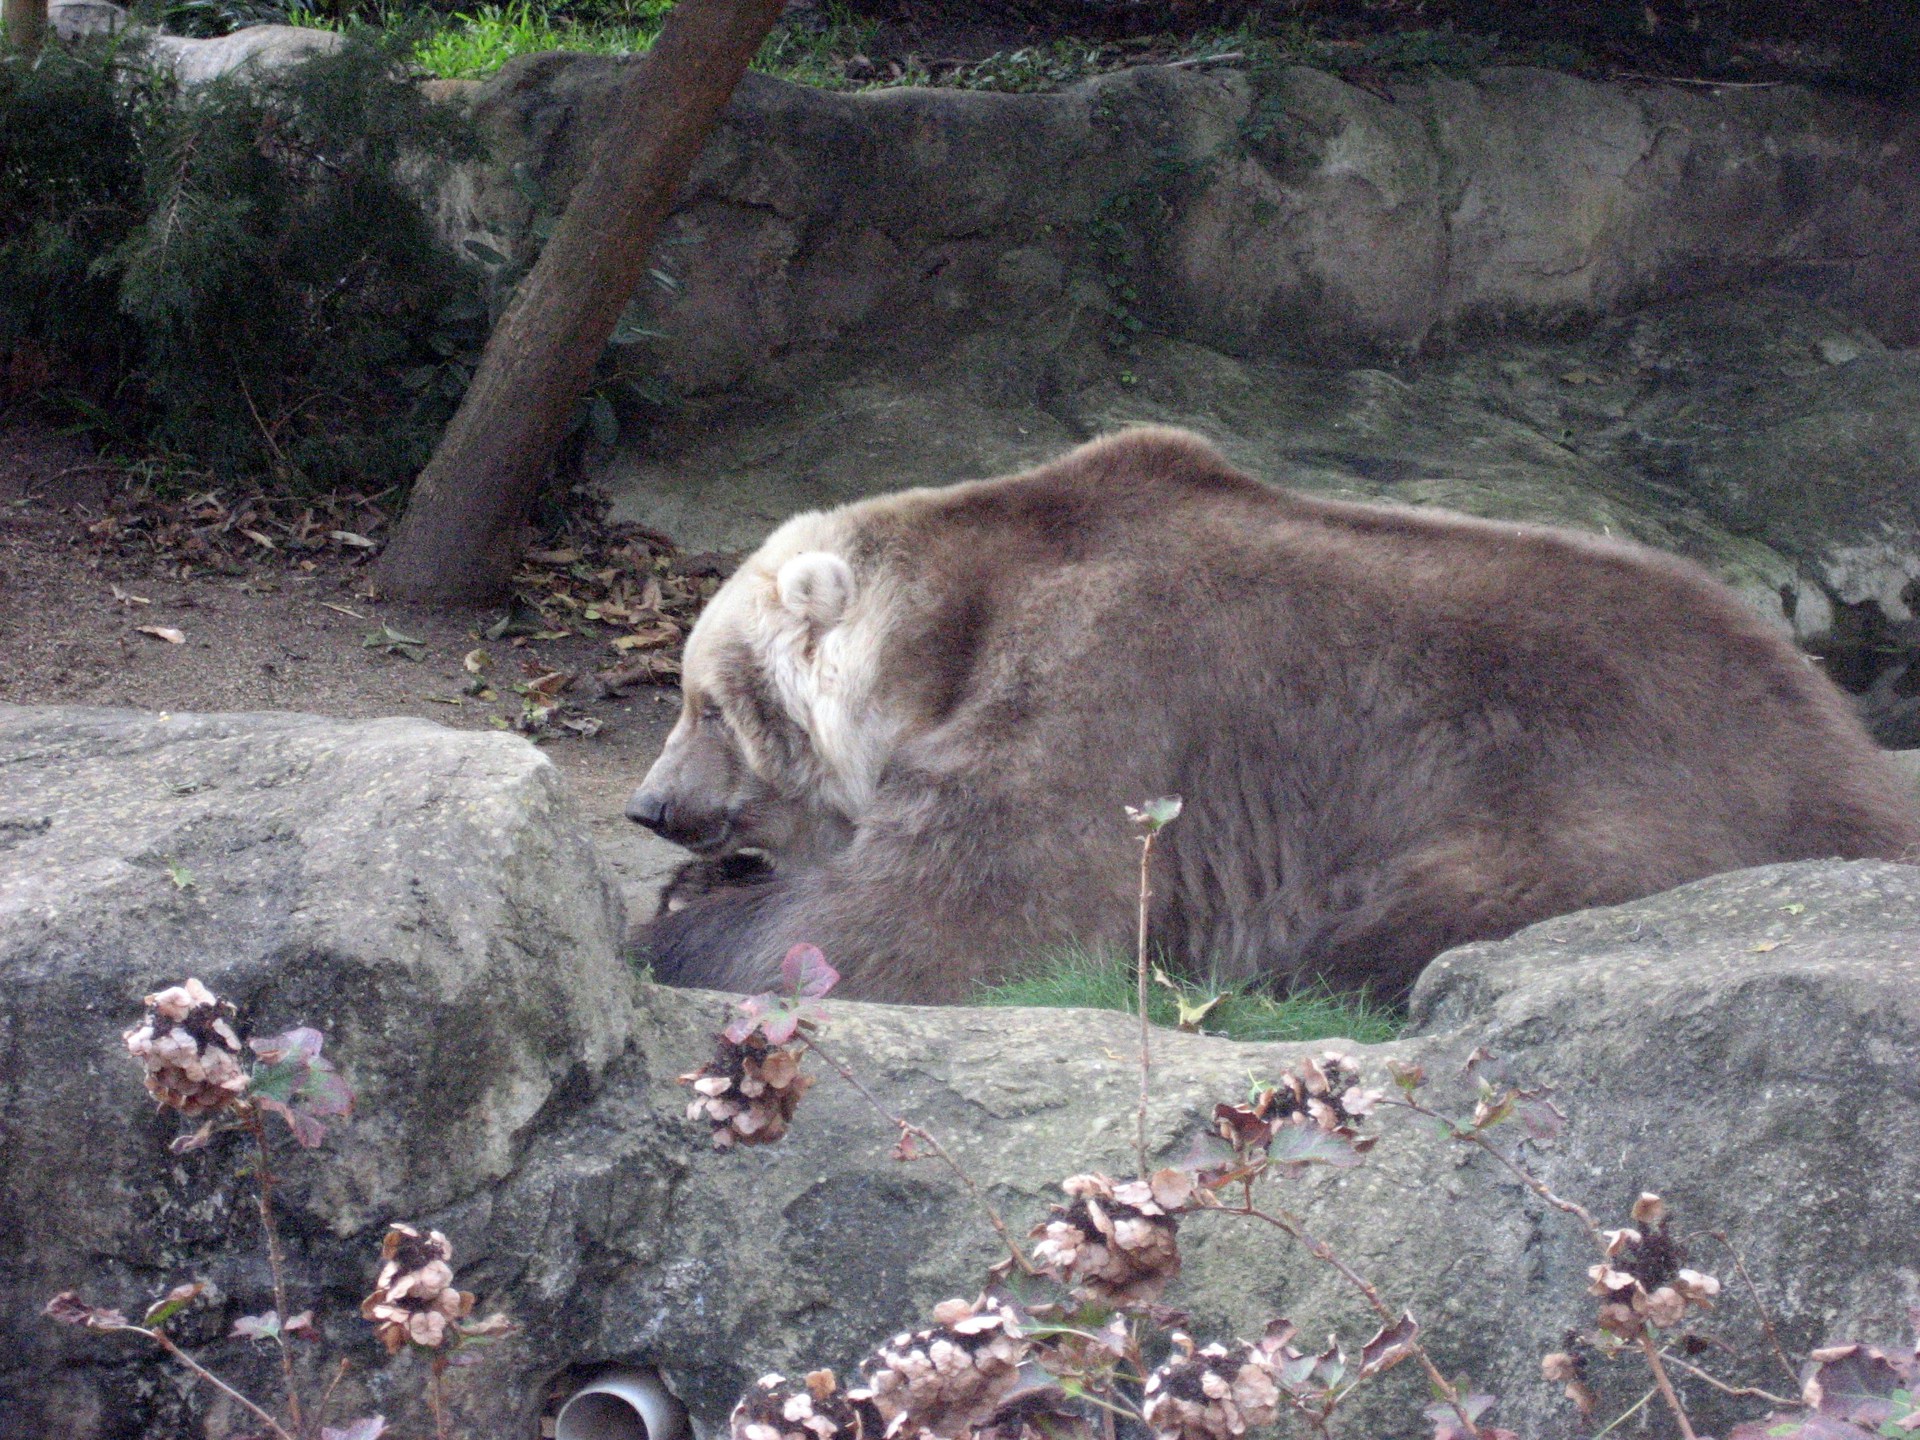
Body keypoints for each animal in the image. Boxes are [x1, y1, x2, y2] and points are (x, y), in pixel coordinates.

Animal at [626, 426, 1920, 1004]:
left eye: (704, 703)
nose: (648, 807)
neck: (939, 640)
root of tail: (1839, 737)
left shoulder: (1098, 683)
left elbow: (961, 913)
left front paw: (684, 926)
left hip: (1592, 811)